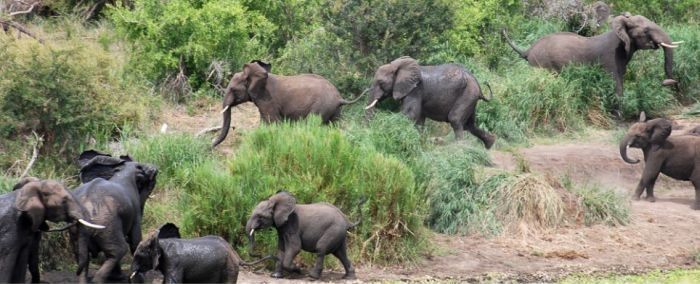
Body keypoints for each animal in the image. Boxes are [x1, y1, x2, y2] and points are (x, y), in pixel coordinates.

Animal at [69, 150, 159, 282]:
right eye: (150, 183)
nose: (155, 169)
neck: (123, 171)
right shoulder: (135, 211)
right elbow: (135, 240)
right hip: (107, 224)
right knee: (119, 249)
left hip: (77, 230)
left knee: (82, 255)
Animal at [211, 60, 364, 148]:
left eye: (233, 89)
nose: (210, 145)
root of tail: (340, 98)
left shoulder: (268, 100)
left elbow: (273, 122)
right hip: (335, 110)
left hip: (322, 107)